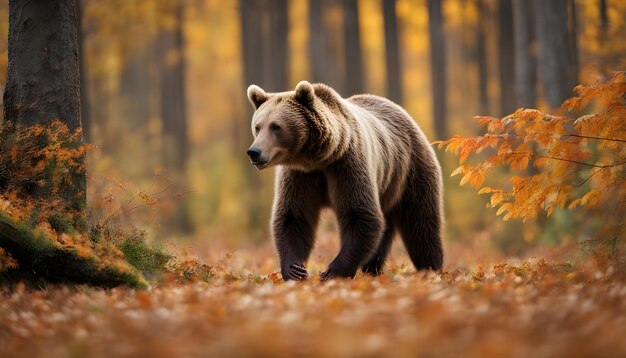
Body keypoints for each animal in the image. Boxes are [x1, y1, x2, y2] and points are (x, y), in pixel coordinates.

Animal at [246, 81, 442, 280]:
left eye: (275, 126)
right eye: (258, 126)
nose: (254, 152)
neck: (318, 158)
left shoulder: (347, 165)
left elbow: (359, 214)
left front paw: (332, 272)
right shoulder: (300, 175)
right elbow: (294, 216)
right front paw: (295, 270)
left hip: (411, 170)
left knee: (421, 223)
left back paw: (431, 269)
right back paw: (373, 270)